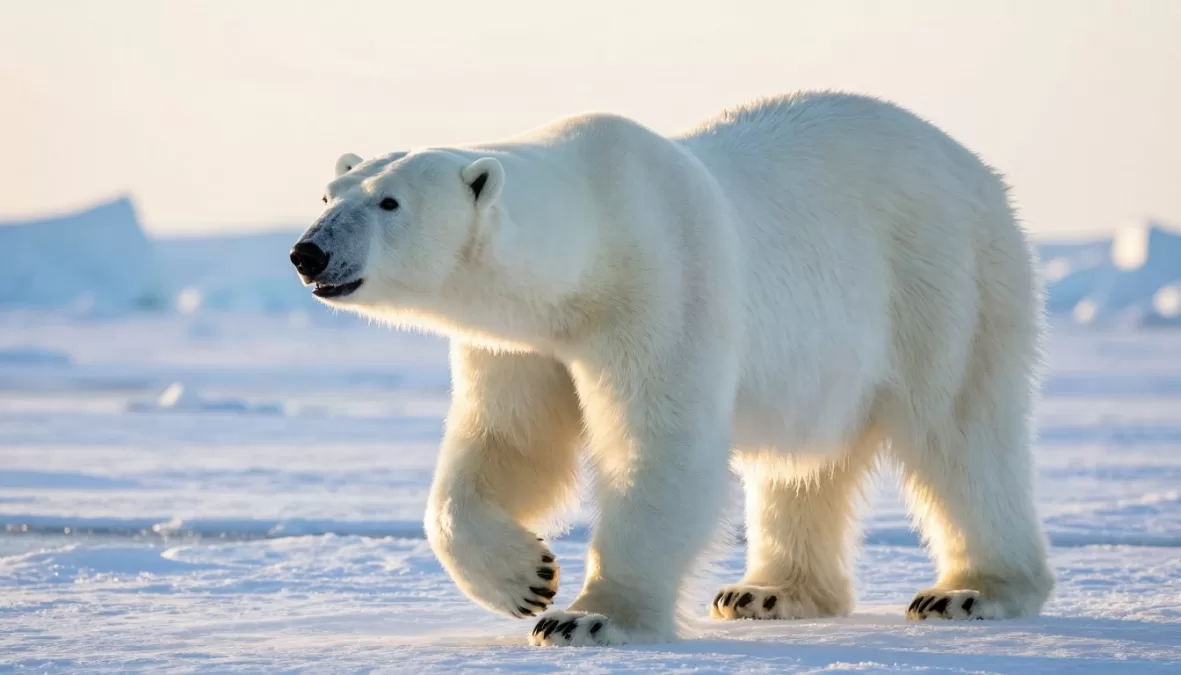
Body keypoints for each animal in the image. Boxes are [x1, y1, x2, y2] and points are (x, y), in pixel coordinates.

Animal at [290, 91, 1054, 646]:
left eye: (390, 202)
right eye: (329, 195)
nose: (307, 252)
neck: (591, 240)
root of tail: (978, 170)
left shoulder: (663, 283)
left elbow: (656, 442)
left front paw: (585, 617)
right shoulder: (522, 340)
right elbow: (509, 441)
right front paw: (526, 578)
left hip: (945, 277)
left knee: (959, 433)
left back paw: (970, 590)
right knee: (803, 466)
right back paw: (765, 591)